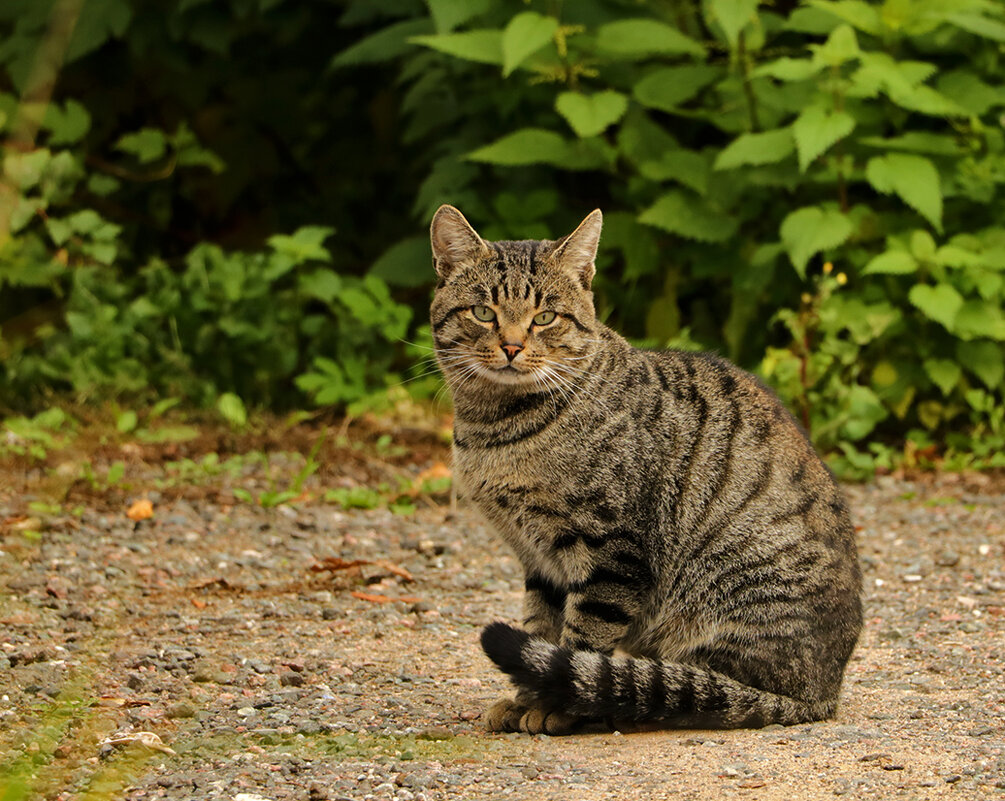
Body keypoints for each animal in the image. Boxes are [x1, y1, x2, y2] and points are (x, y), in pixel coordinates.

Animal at [428, 203, 860, 735]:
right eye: (484, 312)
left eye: (545, 317)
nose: (511, 347)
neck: (495, 427)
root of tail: (824, 694)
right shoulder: (539, 560)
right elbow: (541, 628)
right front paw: (525, 697)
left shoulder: (613, 549)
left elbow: (581, 637)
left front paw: (554, 704)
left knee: (699, 686)